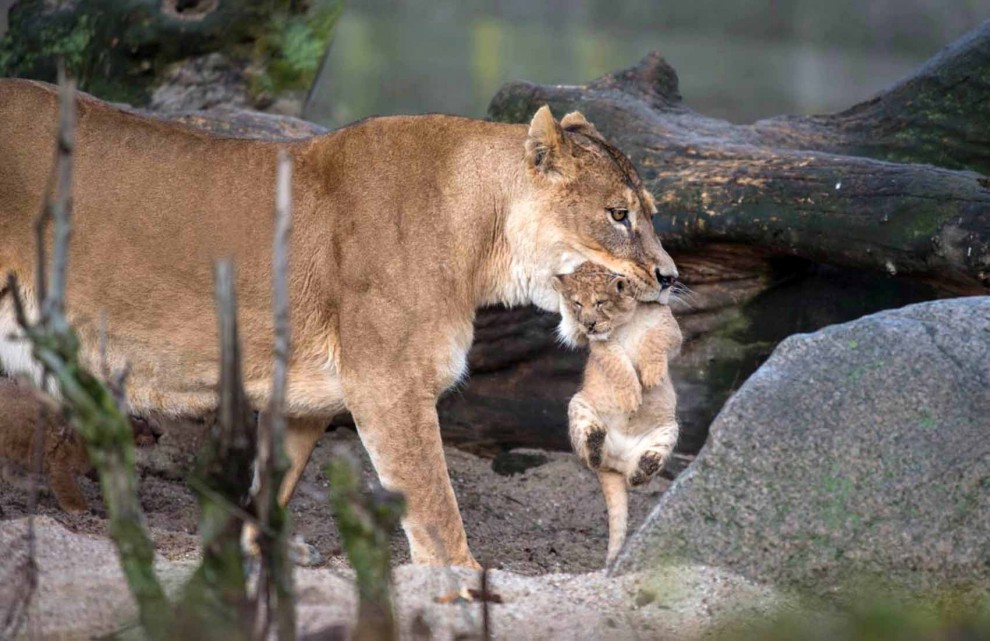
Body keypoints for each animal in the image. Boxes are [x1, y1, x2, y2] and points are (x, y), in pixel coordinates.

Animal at [553, 262, 682, 565]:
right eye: (577, 304)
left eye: (600, 302)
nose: (587, 323)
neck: (630, 319)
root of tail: (615, 465)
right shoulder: (600, 345)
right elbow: (616, 362)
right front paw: (632, 394)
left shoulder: (672, 330)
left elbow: (655, 341)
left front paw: (652, 375)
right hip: (578, 404)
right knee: (592, 458)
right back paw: (594, 441)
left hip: (669, 429)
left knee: (636, 478)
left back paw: (646, 463)